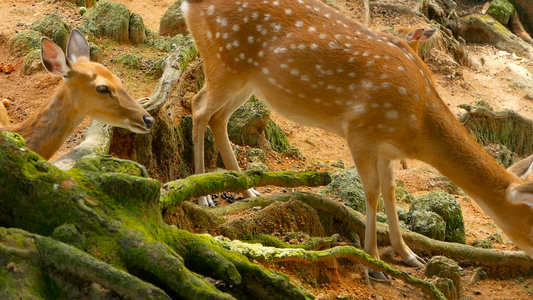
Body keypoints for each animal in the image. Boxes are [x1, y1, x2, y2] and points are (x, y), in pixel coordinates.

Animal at [181, 0, 532, 278]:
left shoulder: (387, 149)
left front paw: (408, 255)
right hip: (225, 63)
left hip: (248, 81)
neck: (417, 125)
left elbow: (390, 191)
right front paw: (373, 264)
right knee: (197, 107)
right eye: (531, 221)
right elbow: (372, 192)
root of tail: (189, 5)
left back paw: (249, 189)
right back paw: (203, 196)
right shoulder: (361, 131)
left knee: (218, 117)